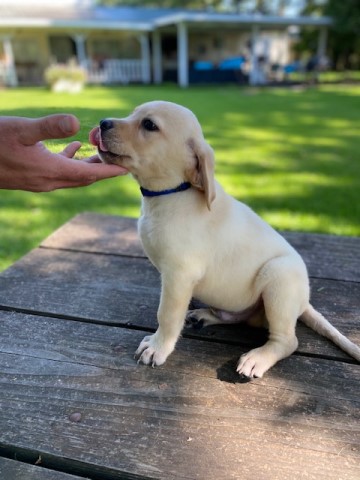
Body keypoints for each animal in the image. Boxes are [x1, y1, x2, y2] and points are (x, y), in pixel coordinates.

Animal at [89, 101, 360, 378]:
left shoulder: (179, 275)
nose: (103, 123)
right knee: (239, 317)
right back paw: (204, 316)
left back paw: (258, 358)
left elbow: (166, 315)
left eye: (149, 125)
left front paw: (157, 347)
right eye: (132, 114)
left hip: (279, 278)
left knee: (287, 340)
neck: (172, 194)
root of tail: (304, 302)